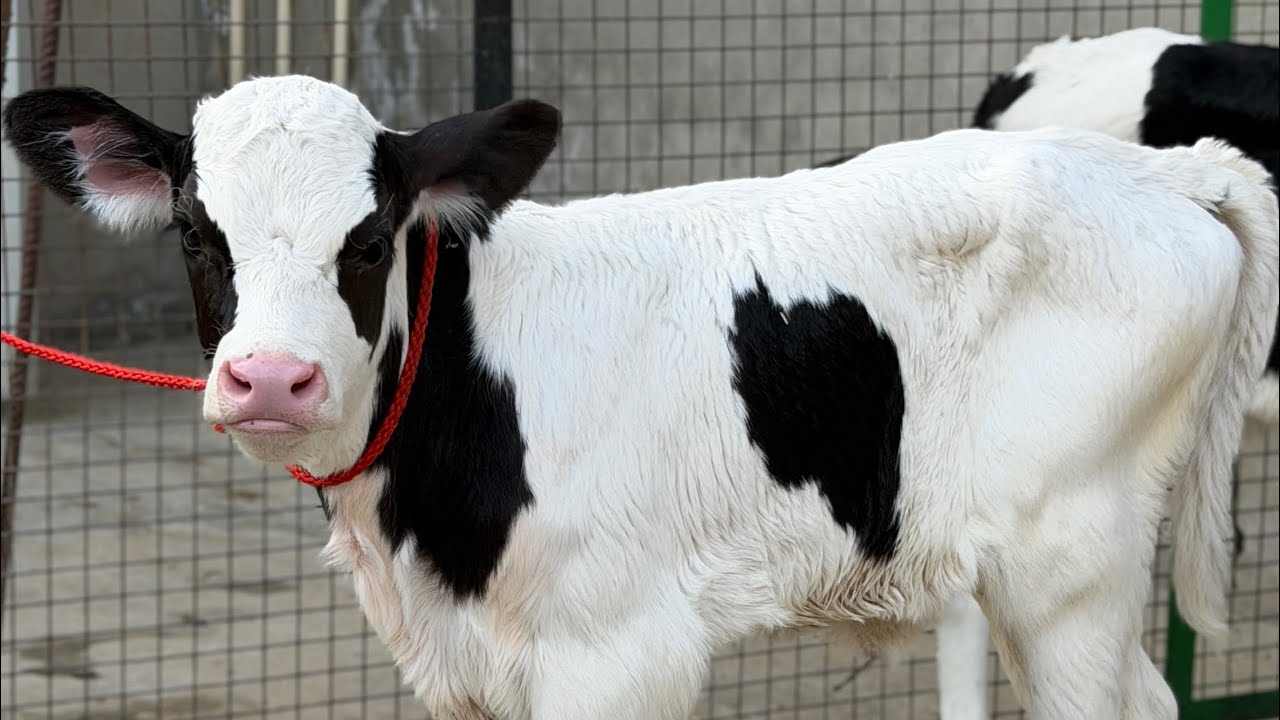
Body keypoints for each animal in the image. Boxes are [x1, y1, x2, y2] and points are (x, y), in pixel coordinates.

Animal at [3, 76, 1276, 720]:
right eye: (193, 232)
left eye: (369, 239)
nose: (270, 377)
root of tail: (1158, 167)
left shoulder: (615, 650)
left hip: (1064, 558)